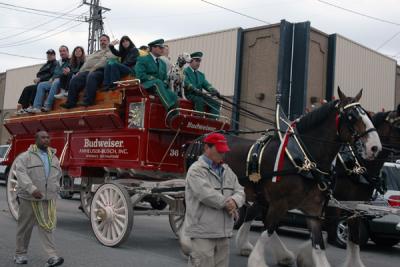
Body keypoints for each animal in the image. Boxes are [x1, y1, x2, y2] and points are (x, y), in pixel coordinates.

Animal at [203, 88, 382, 267]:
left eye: (367, 114)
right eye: (351, 116)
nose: (375, 147)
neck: (303, 159)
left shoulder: (315, 209)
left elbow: (319, 244)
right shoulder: (279, 203)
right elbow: (267, 231)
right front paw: (257, 260)